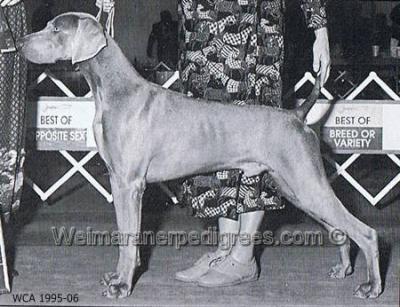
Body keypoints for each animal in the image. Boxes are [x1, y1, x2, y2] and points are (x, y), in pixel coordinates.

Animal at [17, 12, 382, 300]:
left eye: (55, 29)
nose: (19, 43)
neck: (113, 89)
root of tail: (297, 115)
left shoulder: (128, 184)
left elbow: (128, 239)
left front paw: (121, 285)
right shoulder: (118, 181)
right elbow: (126, 237)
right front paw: (120, 277)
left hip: (306, 182)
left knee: (364, 231)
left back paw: (371, 286)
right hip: (295, 188)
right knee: (339, 229)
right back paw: (343, 269)